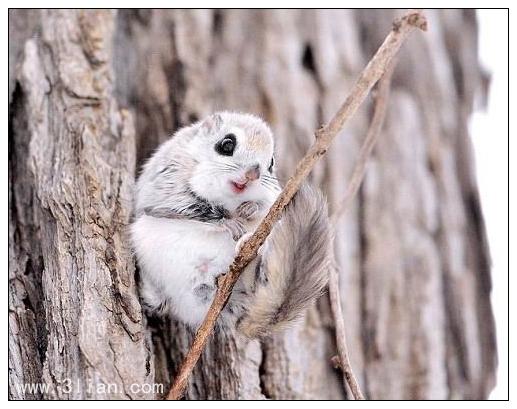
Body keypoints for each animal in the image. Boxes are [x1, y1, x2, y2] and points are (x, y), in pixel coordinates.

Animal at [130, 110, 330, 336]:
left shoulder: (274, 197)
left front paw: (250, 208)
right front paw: (229, 222)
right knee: (158, 302)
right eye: (227, 144)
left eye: (271, 163)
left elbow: (266, 207)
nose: (253, 173)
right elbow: (190, 206)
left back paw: (248, 251)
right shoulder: (166, 184)